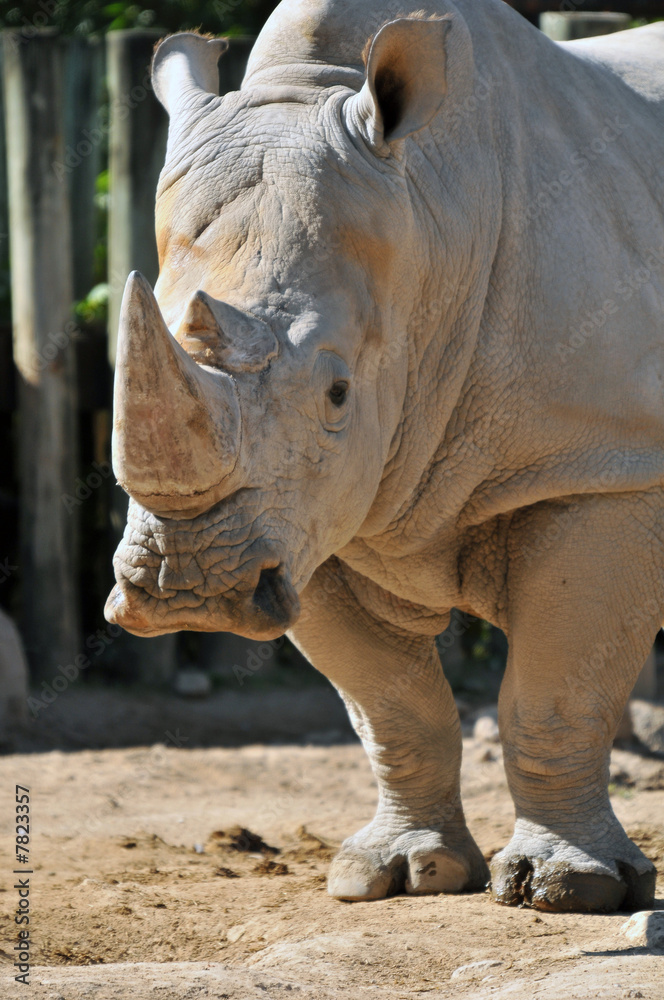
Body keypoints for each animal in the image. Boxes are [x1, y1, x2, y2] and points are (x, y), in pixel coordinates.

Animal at [105, 0, 664, 912]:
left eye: (337, 393)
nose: (190, 588)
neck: (433, 226)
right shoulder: (309, 520)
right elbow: (391, 705)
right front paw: (397, 874)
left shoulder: (600, 464)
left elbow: (556, 691)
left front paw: (569, 889)